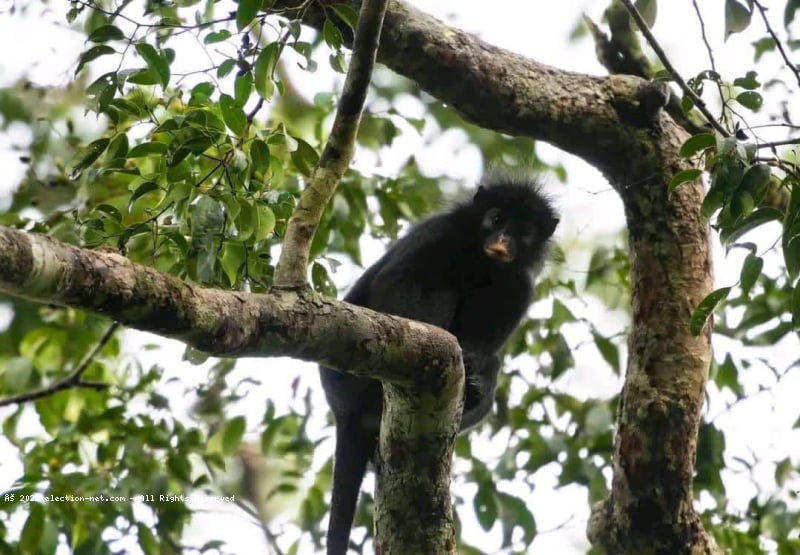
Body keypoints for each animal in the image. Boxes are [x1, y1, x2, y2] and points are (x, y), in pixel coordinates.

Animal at [319, 173, 559, 555]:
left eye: (524, 232)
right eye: (495, 219)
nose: (502, 240)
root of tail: (343, 410)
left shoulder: (519, 284)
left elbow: (490, 343)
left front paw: (478, 367)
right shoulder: (438, 232)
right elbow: (395, 284)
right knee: (438, 290)